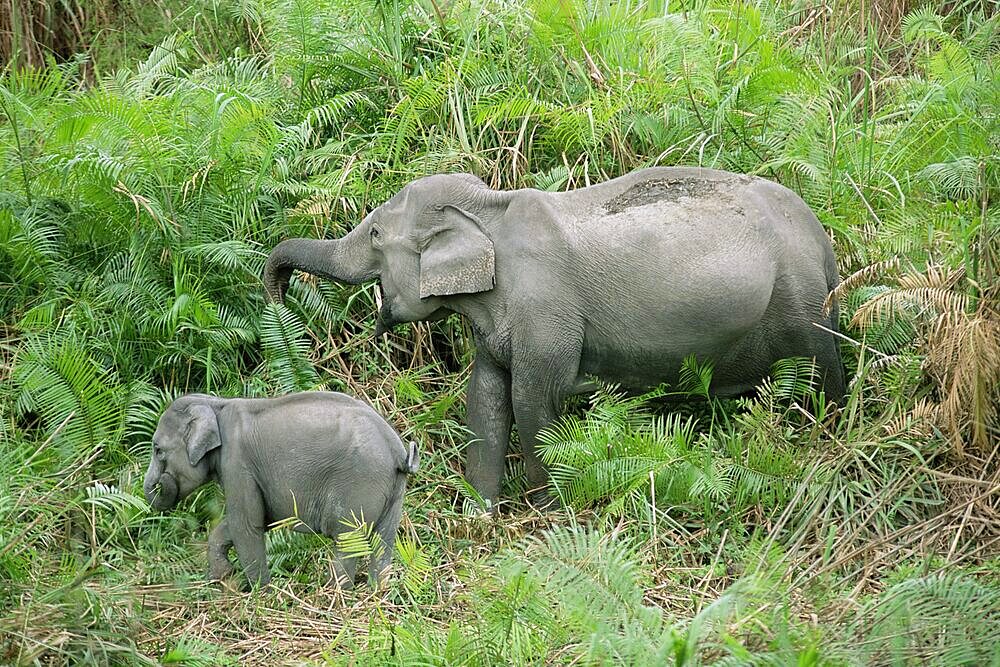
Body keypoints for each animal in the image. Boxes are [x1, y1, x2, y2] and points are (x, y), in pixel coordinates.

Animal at [145, 394, 418, 588]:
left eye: (158, 450)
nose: (160, 483)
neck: (215, 404)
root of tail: (398, 450)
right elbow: (241, 524)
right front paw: (224, 578)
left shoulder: (237, 463)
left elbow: (246, 525)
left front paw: (260, 595)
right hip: (394, 489)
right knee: (384, 540)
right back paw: (376, 593)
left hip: (359, 482)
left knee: (348, 541)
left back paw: (334, 597)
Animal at [264, 170, 844, 508]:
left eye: (375, 234)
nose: (278, 292)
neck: (488, 207)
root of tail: (821, 235)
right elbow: (486, 398)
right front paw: (479, 512)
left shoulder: (544, 312)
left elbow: (533, 400)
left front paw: (542, 511)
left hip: (800, 306)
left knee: (823, 373)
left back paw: (829, 439)